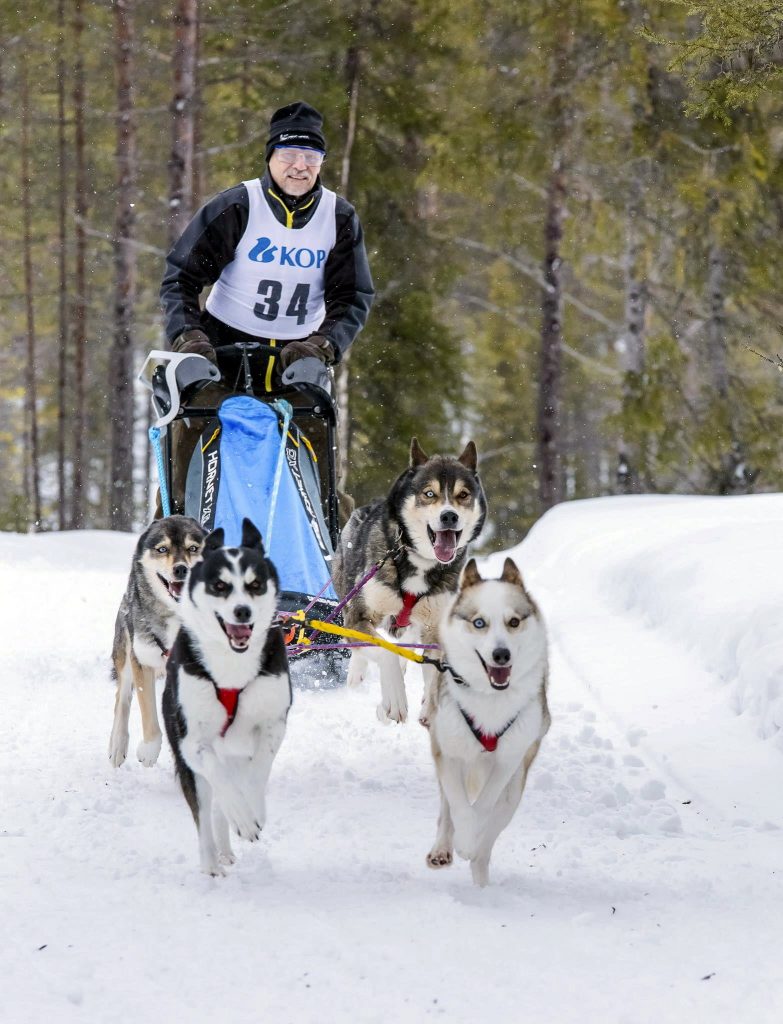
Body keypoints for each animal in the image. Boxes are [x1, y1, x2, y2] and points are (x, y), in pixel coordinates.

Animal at [110, 516, 207, 765]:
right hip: (127, 651)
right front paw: (149, 750)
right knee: (122, 697)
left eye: (193, 548)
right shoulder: (143, 661)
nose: (181, 568)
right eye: (162, 549)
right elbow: (149, 715)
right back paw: (117, 744)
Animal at [161, 520, 290, 872]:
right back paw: (211, 864)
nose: (242, 611)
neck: (232, 667)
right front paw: (243, 818)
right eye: (220, 585)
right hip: (189, 762)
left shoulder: (273, 723)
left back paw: (226, 849)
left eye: (255, 584)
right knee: (205, 811)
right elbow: (217, 777)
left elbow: (259, 769)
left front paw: (253, 811)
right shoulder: (193, 742)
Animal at [333, 440, 485, 729]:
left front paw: (429, 707)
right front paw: (394, 700)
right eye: (429, 493)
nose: (449, 516)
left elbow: (433, 670)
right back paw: (358, 675)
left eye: (463, 495)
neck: (417, 561)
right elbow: (385, 652)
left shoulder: (435, 629)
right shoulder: (359, 616)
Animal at [423, 557, 548, 884]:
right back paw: (444, 849)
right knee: (447, 811)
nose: (501, 654)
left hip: (515, 788)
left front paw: (471, 840)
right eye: (479, 623)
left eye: (514, 622)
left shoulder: (509, 759)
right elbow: (458, 806)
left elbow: (483, 807)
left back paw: (480, 873)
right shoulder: (448, 753)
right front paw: (463, 838)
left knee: (491, 832)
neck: (490, 699)